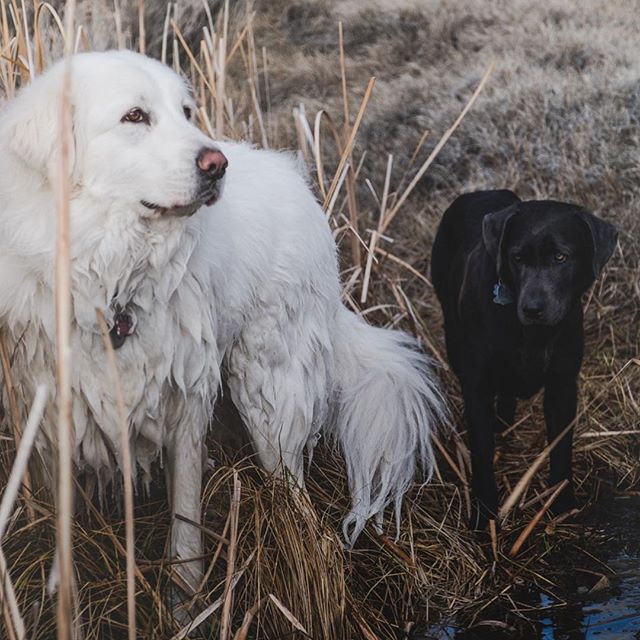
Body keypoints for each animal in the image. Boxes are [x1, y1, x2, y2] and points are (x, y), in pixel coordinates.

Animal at [0, 51, 448, 596]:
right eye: (135, 116)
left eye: (187, 112)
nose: (217, 165)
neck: (111, 274)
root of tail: (296, 182)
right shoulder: (47, 417)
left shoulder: (185, 402)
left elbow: (185, 531)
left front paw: (186, 601)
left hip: (269, 391)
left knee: (297, 500)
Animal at [432, 191, 616, 528]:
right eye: (517, 258)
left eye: (560, 257)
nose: (532, 308)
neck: (532, 335)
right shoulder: (476, 388)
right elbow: (481, 452)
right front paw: (485, 514)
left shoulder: (562, 385)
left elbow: (561, 449)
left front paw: (562, 504)